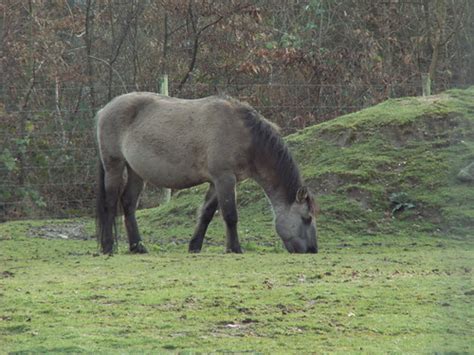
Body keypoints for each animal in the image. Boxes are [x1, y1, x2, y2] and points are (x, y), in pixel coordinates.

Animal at [95, 93, 318, 254]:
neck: (244, 134)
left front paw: (194, 246)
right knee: (110, 203)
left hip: (136, 172)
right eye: (306, 218)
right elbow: (230, 215)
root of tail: (104, 109)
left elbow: (207, 214)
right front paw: (234, 248)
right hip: (114, 166)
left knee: (128, 204)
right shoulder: (224, 178)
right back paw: (108, 247)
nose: (312, 250)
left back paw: (138, 247)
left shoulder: (216, 182)